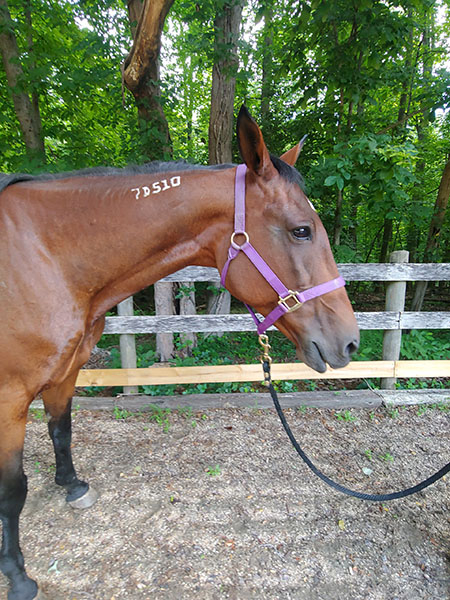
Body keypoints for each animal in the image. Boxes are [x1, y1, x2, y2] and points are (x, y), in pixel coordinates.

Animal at [0, 108, 358, 600]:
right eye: (301, 230)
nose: (350, 342)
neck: (45, 257)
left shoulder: (65, 371)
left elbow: (61, 432)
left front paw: (72, 487)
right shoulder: (10, 397)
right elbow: (12, 490)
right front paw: (17, 576)